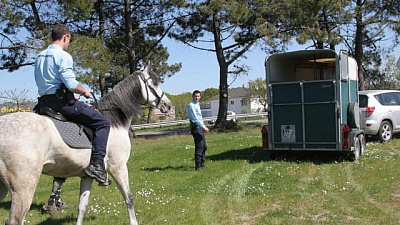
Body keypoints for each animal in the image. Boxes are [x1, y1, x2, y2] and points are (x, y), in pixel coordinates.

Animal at [0, 64, 170, 224]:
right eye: (154, 84)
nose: (168, 105)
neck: (114, 123)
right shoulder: (119, 167)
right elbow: (129, 198)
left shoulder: (86, 175)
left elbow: (82, 207)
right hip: (23, 188)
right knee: (15, 219)